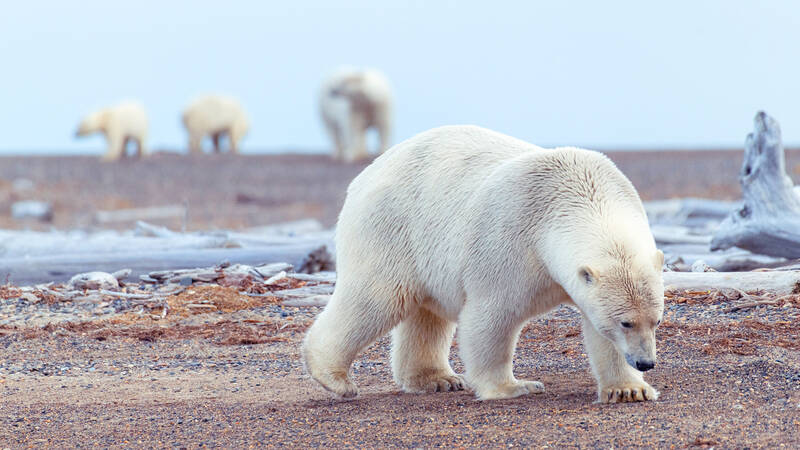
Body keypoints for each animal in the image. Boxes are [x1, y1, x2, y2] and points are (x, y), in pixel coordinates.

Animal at [303, 125, 664, 403]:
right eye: (626, 322)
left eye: (656, 320)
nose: (646, 362)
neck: (574, 194)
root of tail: (368, 172)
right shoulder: (511, 241)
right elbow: (493, 317)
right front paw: (515, 386)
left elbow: (598, 329)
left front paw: (630, 390)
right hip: (391, 227)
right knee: (377, 298)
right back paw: (334, 378)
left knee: (425, 314)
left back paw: (438, 379)